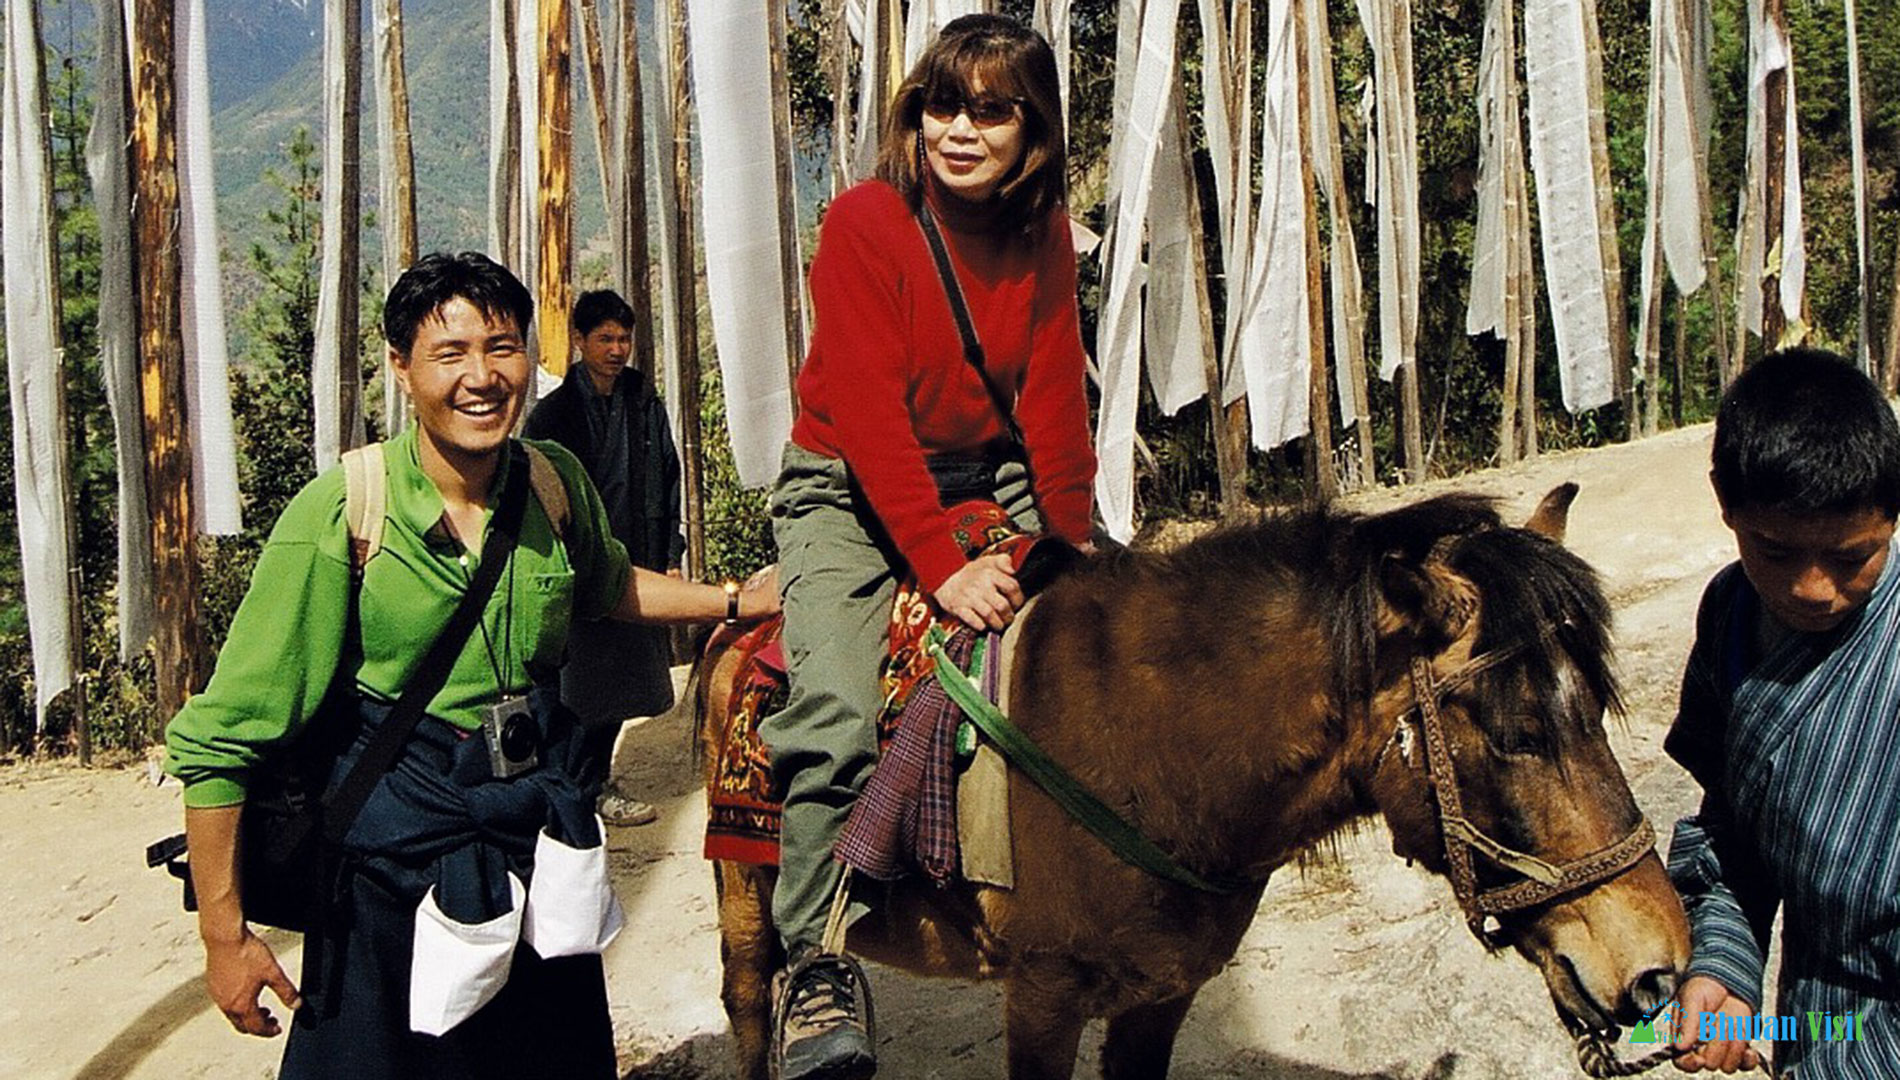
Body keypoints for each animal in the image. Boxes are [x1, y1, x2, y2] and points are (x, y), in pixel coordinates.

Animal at [699, 490, 1694, 1080]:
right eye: (1518, 732)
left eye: (1595, 711)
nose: (1658, 965)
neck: (1148, 746)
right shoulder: (1043, 993)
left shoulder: (1162, 993)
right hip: (745, 897)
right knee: (750, 1001)